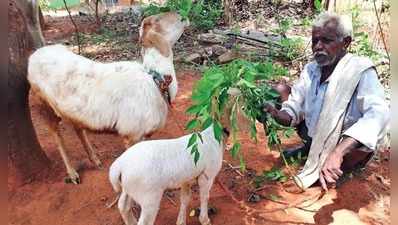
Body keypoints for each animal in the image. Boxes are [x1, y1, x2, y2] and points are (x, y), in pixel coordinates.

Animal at [27, 12, 189, 184]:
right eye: (157, 20)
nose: (182, 15)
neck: (155, 79)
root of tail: (36, 53)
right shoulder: (131, 134)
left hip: (72, 112)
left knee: (78, 128)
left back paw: (95, 160)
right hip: (44, 105)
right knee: (57, 136)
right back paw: (72, 173)